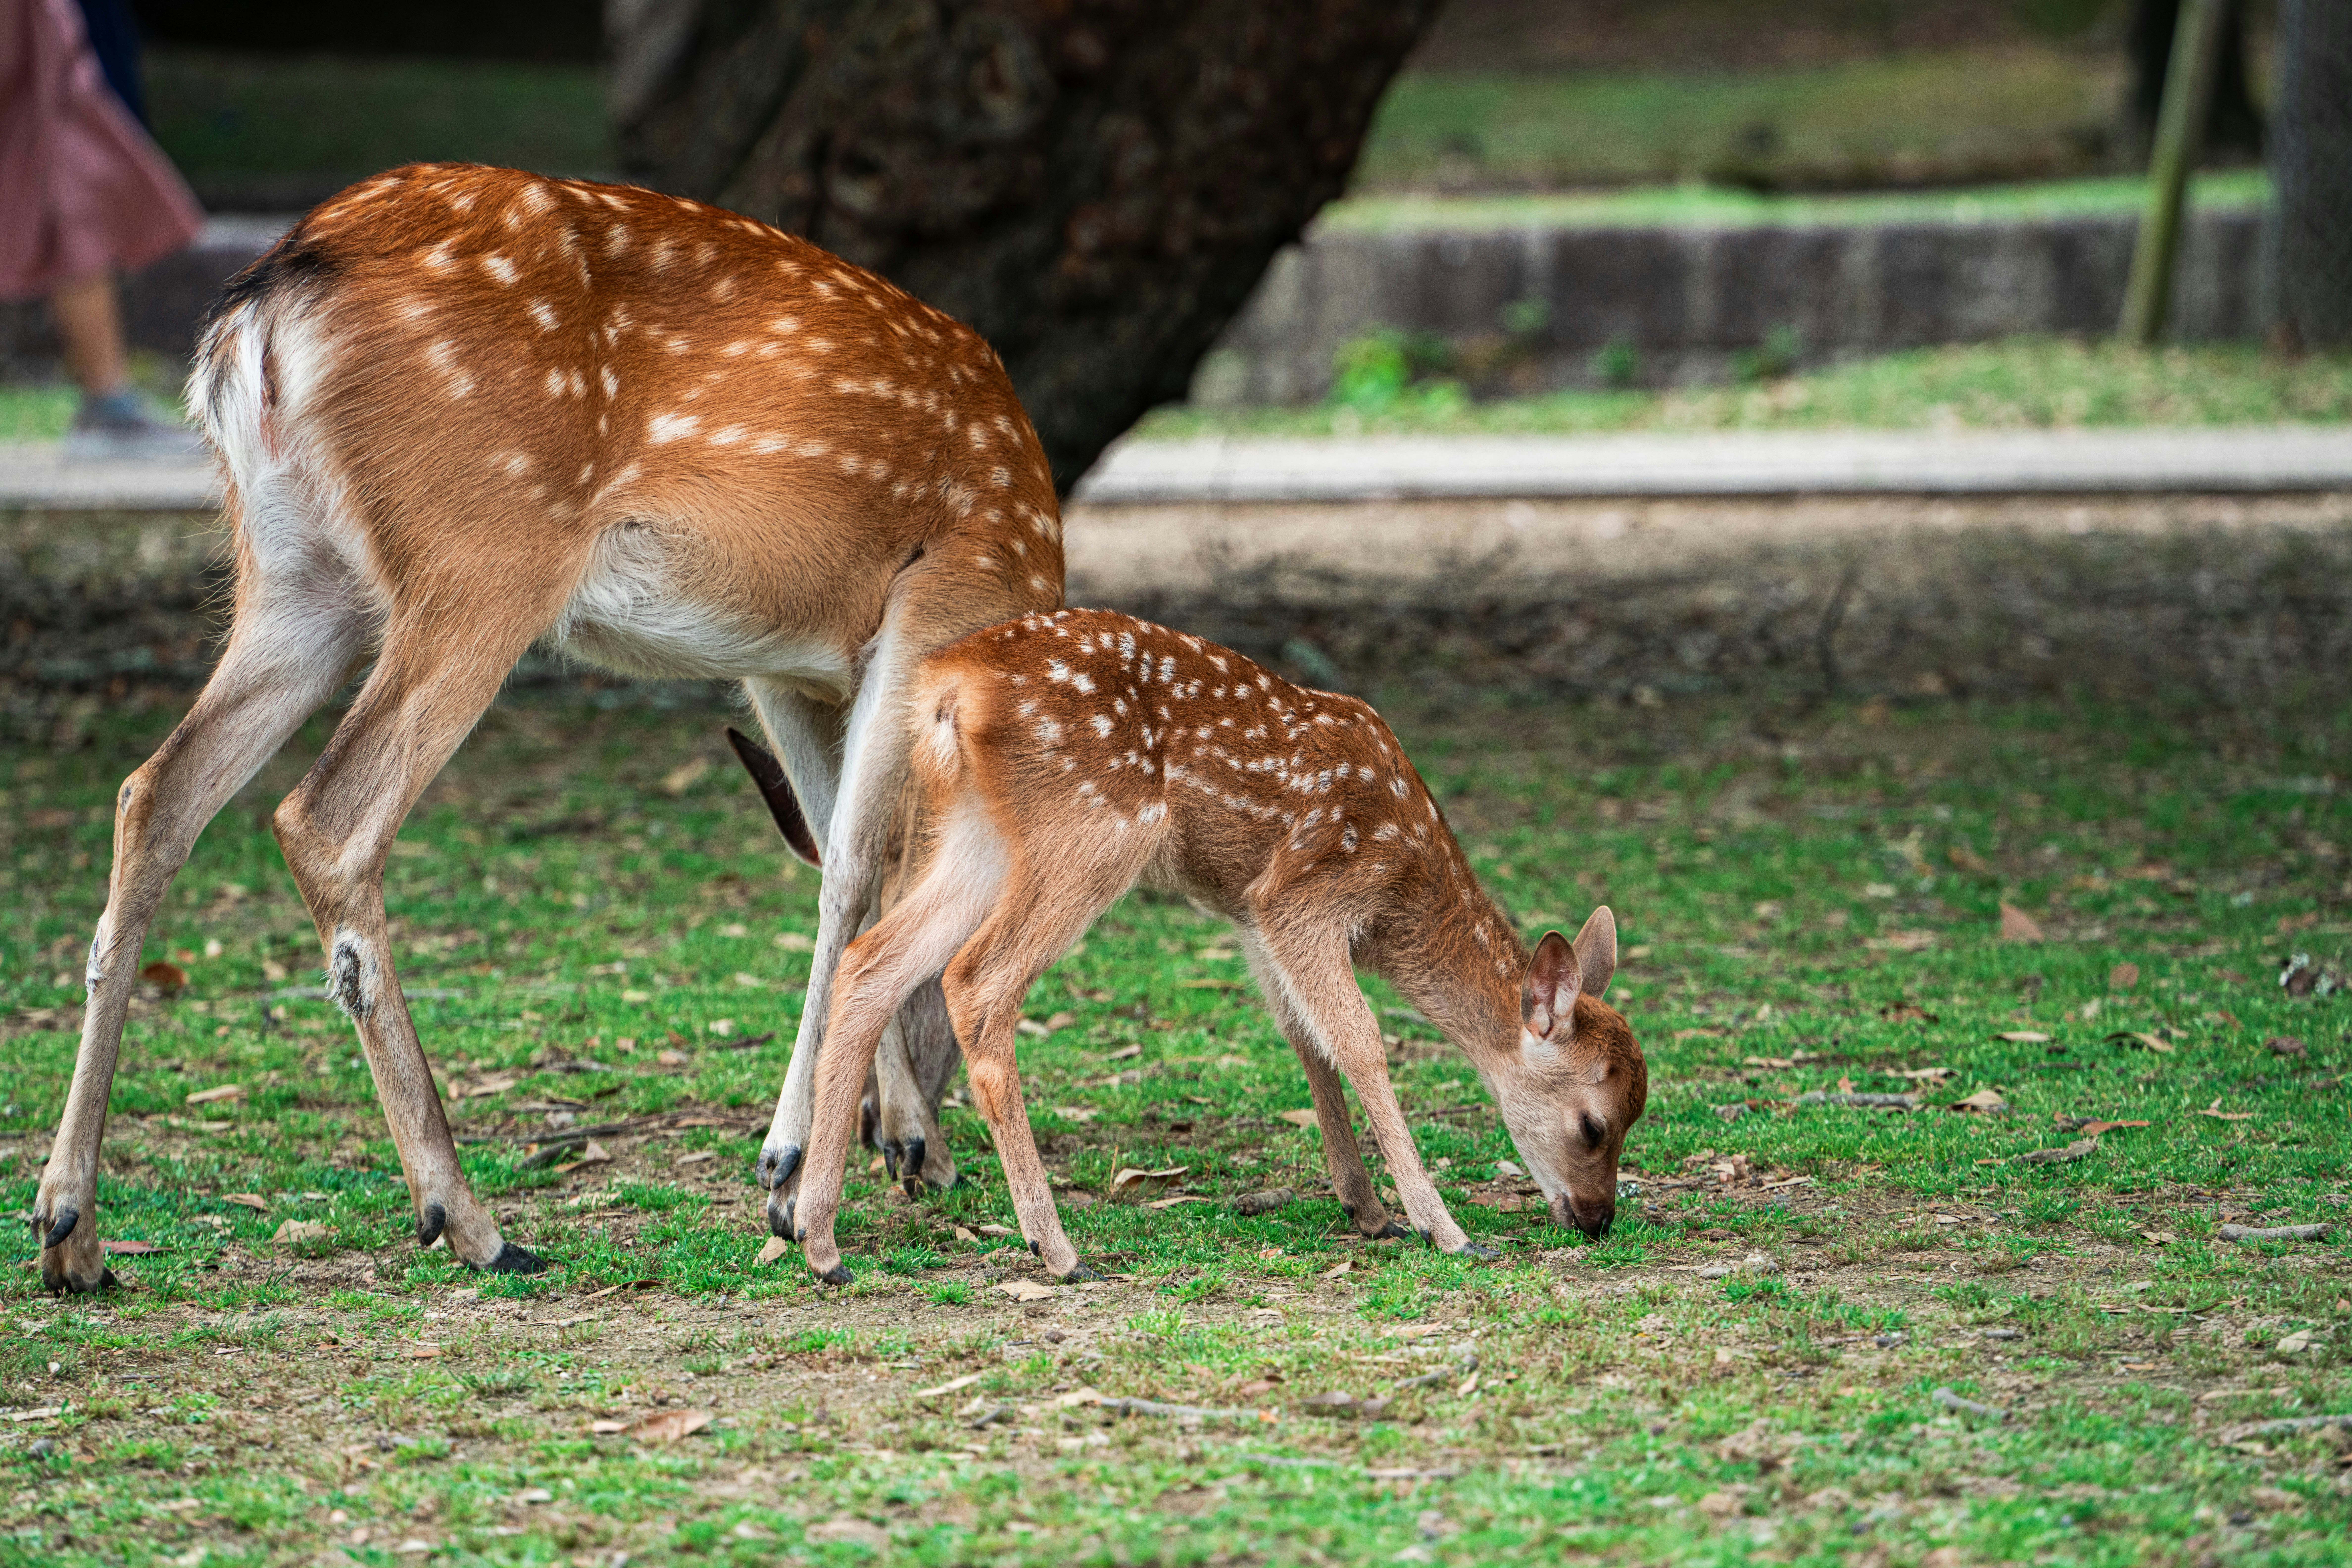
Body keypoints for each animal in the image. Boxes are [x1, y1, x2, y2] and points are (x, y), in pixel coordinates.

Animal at [30, 163, 1063, 1293]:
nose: (918, 1146)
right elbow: (857, 876)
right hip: (485, 552)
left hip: (294, 573)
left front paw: (888, 1140)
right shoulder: (932, 607)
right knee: (326, 818)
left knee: (154, 793)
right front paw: (794, 1172)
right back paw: (470, 1220)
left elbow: (847, 860)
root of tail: (264, 303)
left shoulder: (787, 665)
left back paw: (71, 1228)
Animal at [784, 608, 1649, 1285]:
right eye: (1593, 1125)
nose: (1598, 1219)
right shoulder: (1304, 896)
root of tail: (950, 689)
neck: (1403, 889)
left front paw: (1367, 1209)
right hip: (1093, 828)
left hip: (983, 835)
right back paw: (1056, 1248)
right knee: (976, 981)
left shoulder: (1252, 918)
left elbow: (1307, 1042)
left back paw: (818, 1240)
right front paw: (1445, 1229)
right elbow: (1362, 1042)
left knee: (871, 963)